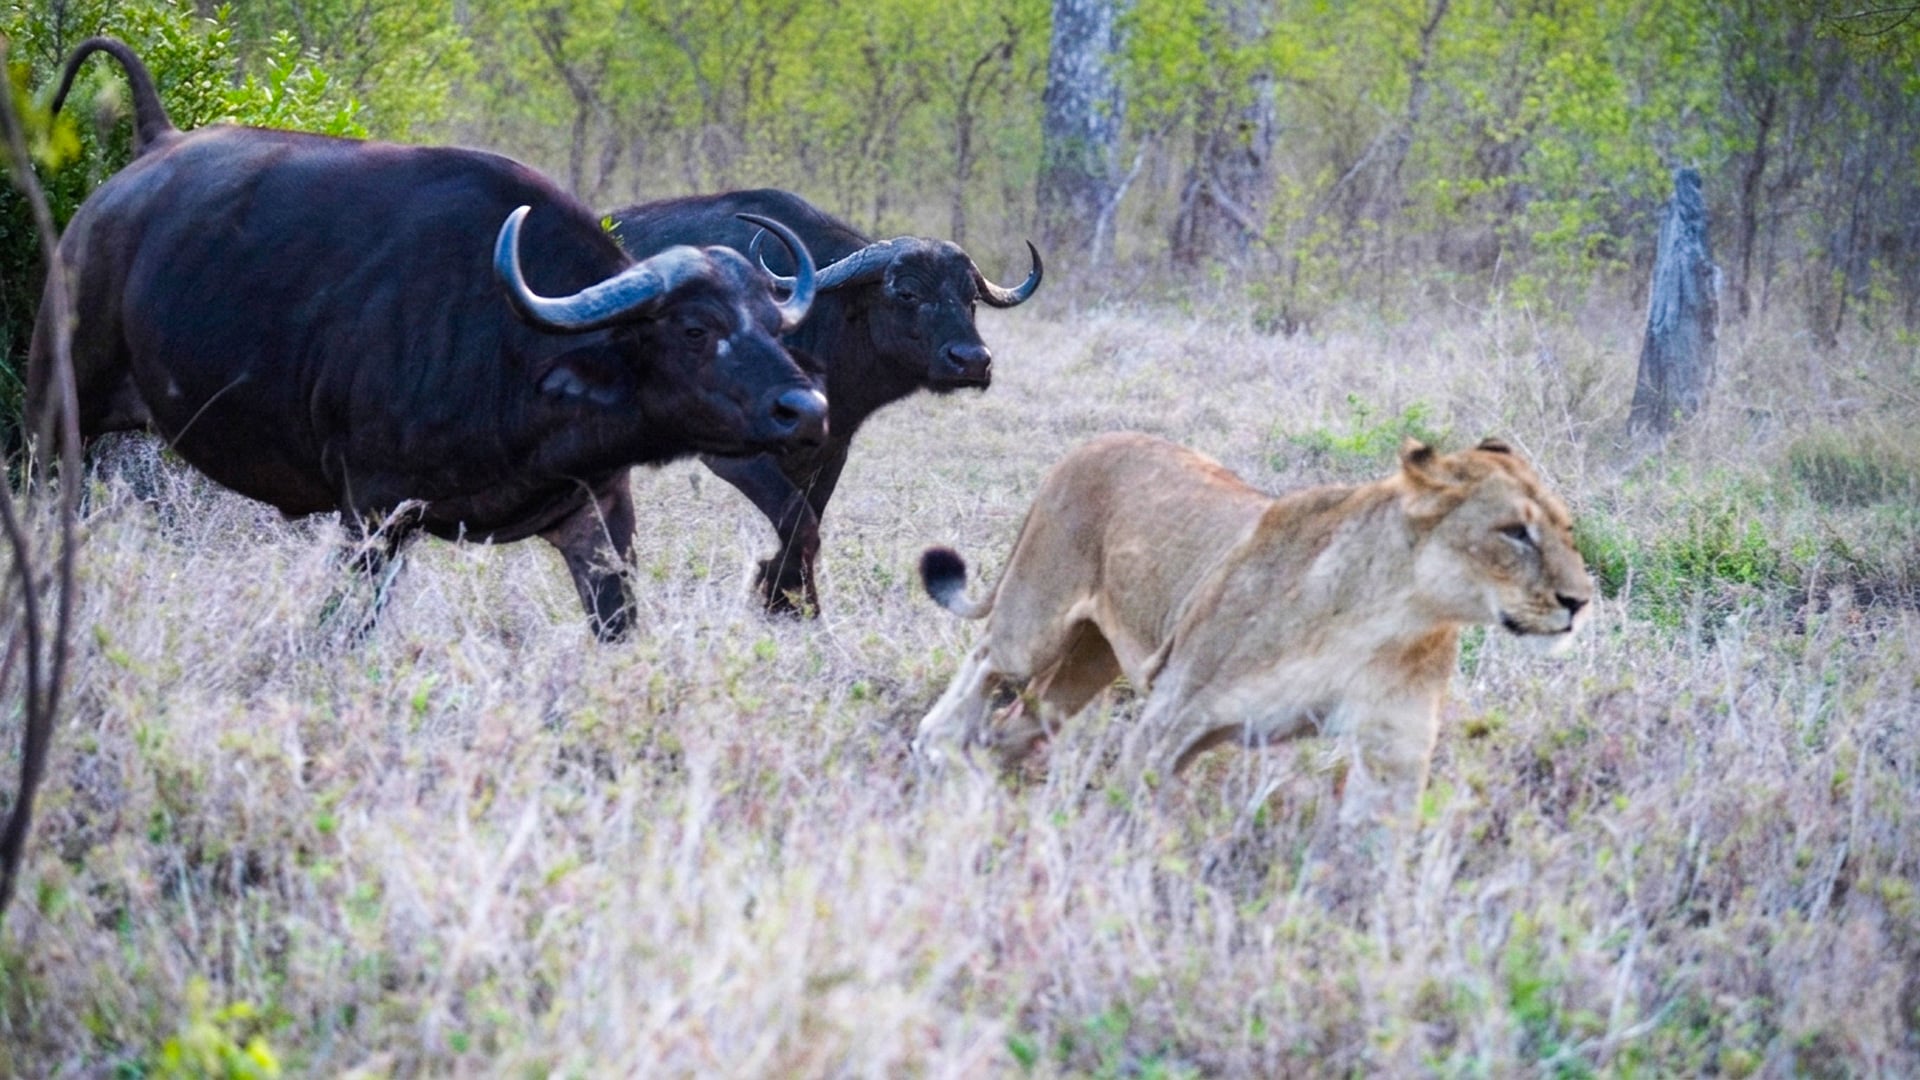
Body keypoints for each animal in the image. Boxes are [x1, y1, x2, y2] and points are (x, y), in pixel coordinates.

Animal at [914, 431, 1593, 824]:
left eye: (1566, 530)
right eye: (1515, 532)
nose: (1580, 601)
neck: (1392, 618)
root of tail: (1091, 441)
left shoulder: (1394, 753)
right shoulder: (1168, 722)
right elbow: (1120, 813)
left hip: (1089, 662)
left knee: (1021, 720)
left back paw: (979, 773)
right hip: (1036, 626)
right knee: (987, 657)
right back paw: (937, 743)